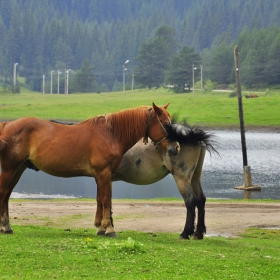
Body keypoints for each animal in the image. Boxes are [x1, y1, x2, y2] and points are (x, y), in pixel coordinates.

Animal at [0, 103, 179, 236]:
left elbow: (100, 199)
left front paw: (100, 228)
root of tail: (7, 124)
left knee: (7, 194)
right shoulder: (104, 173)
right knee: (3, 192)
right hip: (10, 168)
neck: (110, 133)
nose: (175, 147)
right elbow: (106, 199)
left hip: (18, 169)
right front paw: (109, 228)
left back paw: (7, 226)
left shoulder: (100, 176)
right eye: (166, 124)